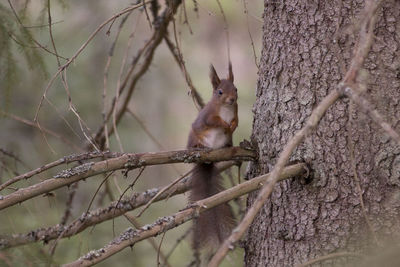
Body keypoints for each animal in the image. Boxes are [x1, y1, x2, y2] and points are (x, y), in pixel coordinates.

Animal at [187, 62, 238, 253]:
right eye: (220, 92)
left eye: (236, 89)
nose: (232, 99)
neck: (226, 108)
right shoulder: (209, 115)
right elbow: (213, 121)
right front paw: (224, 124)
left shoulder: (235, 111)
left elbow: (236, 120)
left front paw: (232, 125)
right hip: (195, 137)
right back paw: (198, 147)